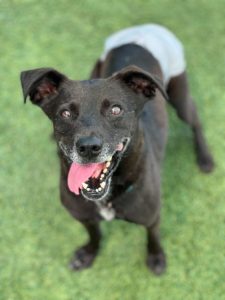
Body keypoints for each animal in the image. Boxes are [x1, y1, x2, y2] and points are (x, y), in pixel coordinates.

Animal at [19, 25, 214, 274]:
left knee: (195, 118)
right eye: (65, 113)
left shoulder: (152, 217)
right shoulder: (84, 217)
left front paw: (156, 257)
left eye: (115, 109)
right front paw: (89, 253)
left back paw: (205, 158)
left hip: (179, 95)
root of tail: (144, 28)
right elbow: (94, 234)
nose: (88, 147)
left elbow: (153, 237)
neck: (107, 196)